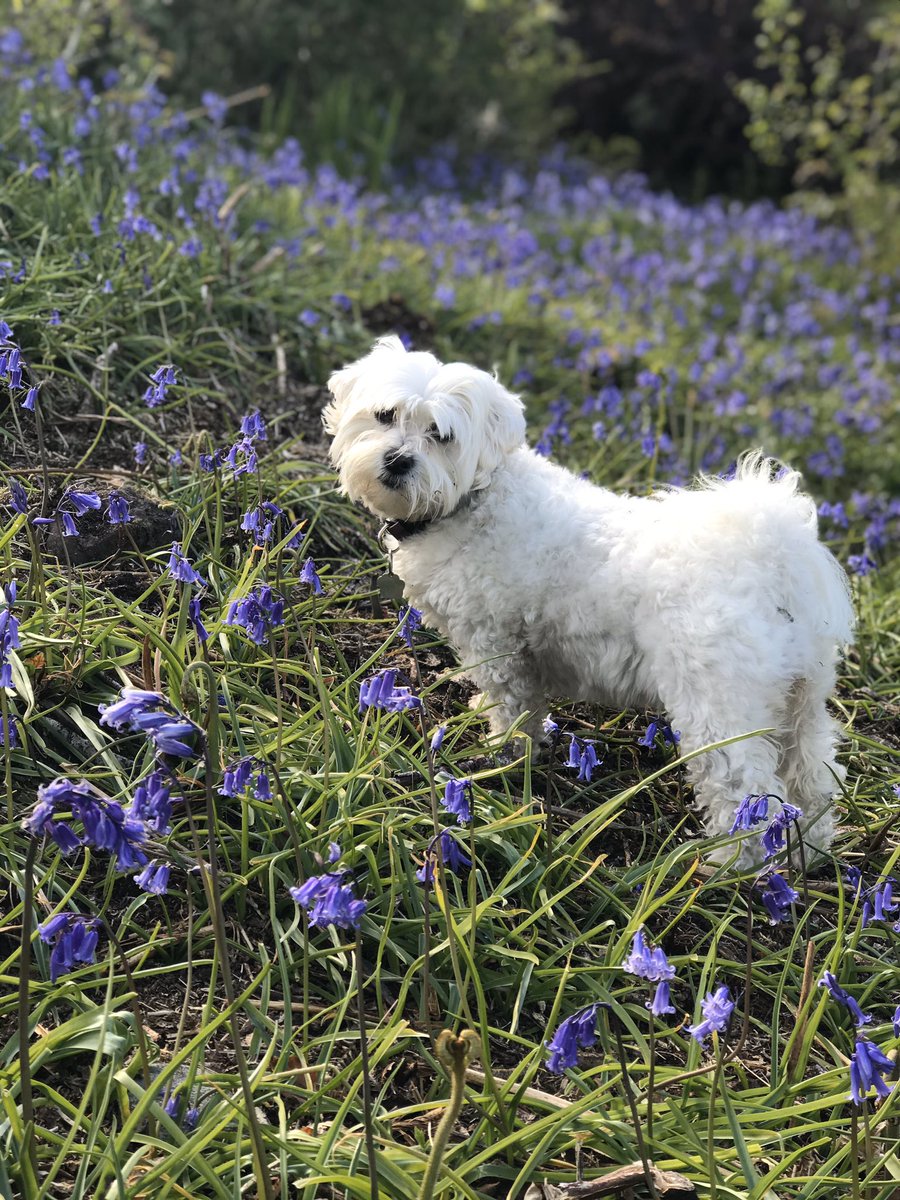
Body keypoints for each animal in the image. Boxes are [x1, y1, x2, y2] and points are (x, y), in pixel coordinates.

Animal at [321, 338, 854, 859]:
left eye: (442, 435)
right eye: (385, 415)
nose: (398, 460)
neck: (476, 496)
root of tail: (771, 558)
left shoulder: (497, 644)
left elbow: (514, 709)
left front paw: (503, 758)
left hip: (720, 706)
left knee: (745, 791)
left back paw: (730, 864)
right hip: (801, 701)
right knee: (812, 778)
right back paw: (809, 853)